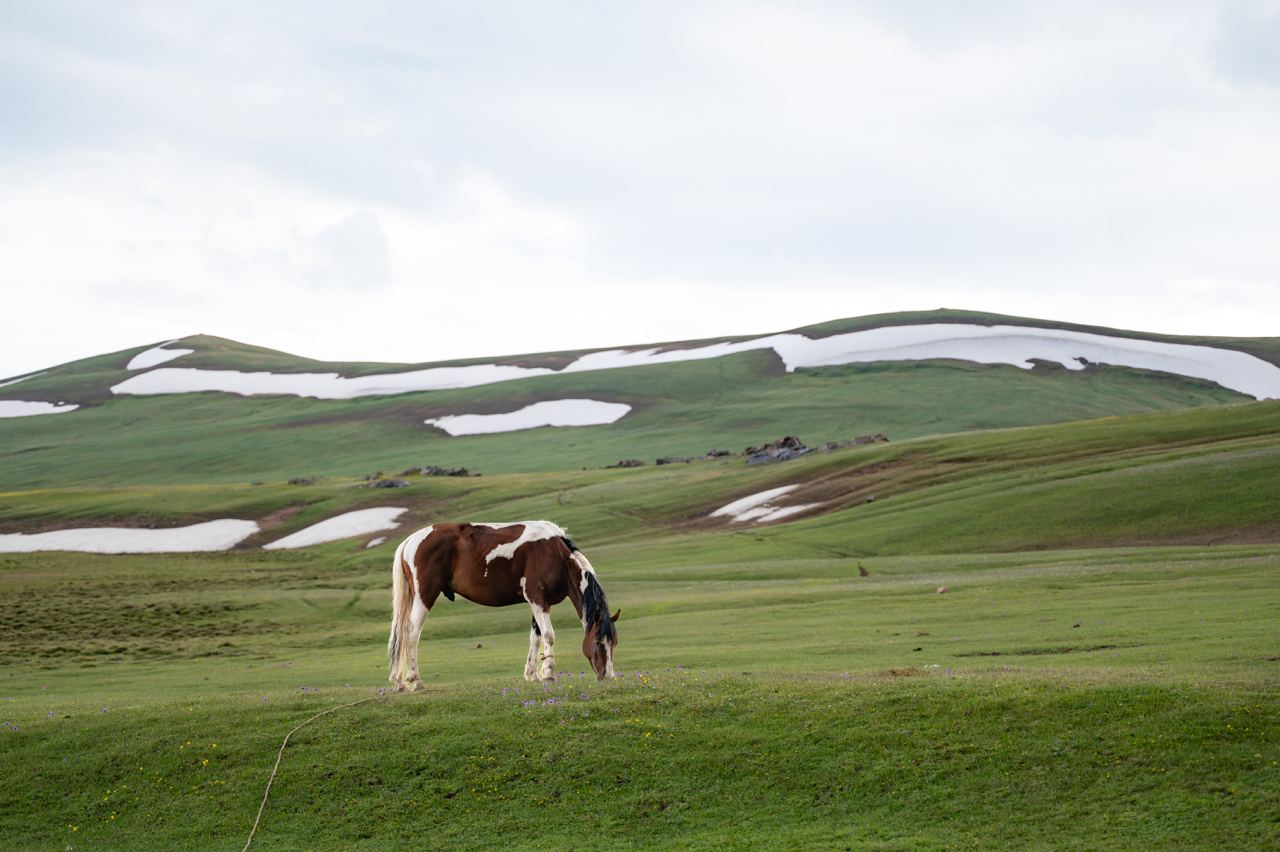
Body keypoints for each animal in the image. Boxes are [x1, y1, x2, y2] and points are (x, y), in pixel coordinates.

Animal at [387, 521, 619, 691]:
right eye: (598, 642)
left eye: (613, 643)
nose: (608, 676)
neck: (555, 555)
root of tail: (410, 540)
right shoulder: (537, 599)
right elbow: (549, 635)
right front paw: (548, 674)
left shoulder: (538, 604)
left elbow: (535, 638)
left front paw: (532, 674)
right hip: (424, 597)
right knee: (412, 634)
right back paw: (415, 681)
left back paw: (400, 681)